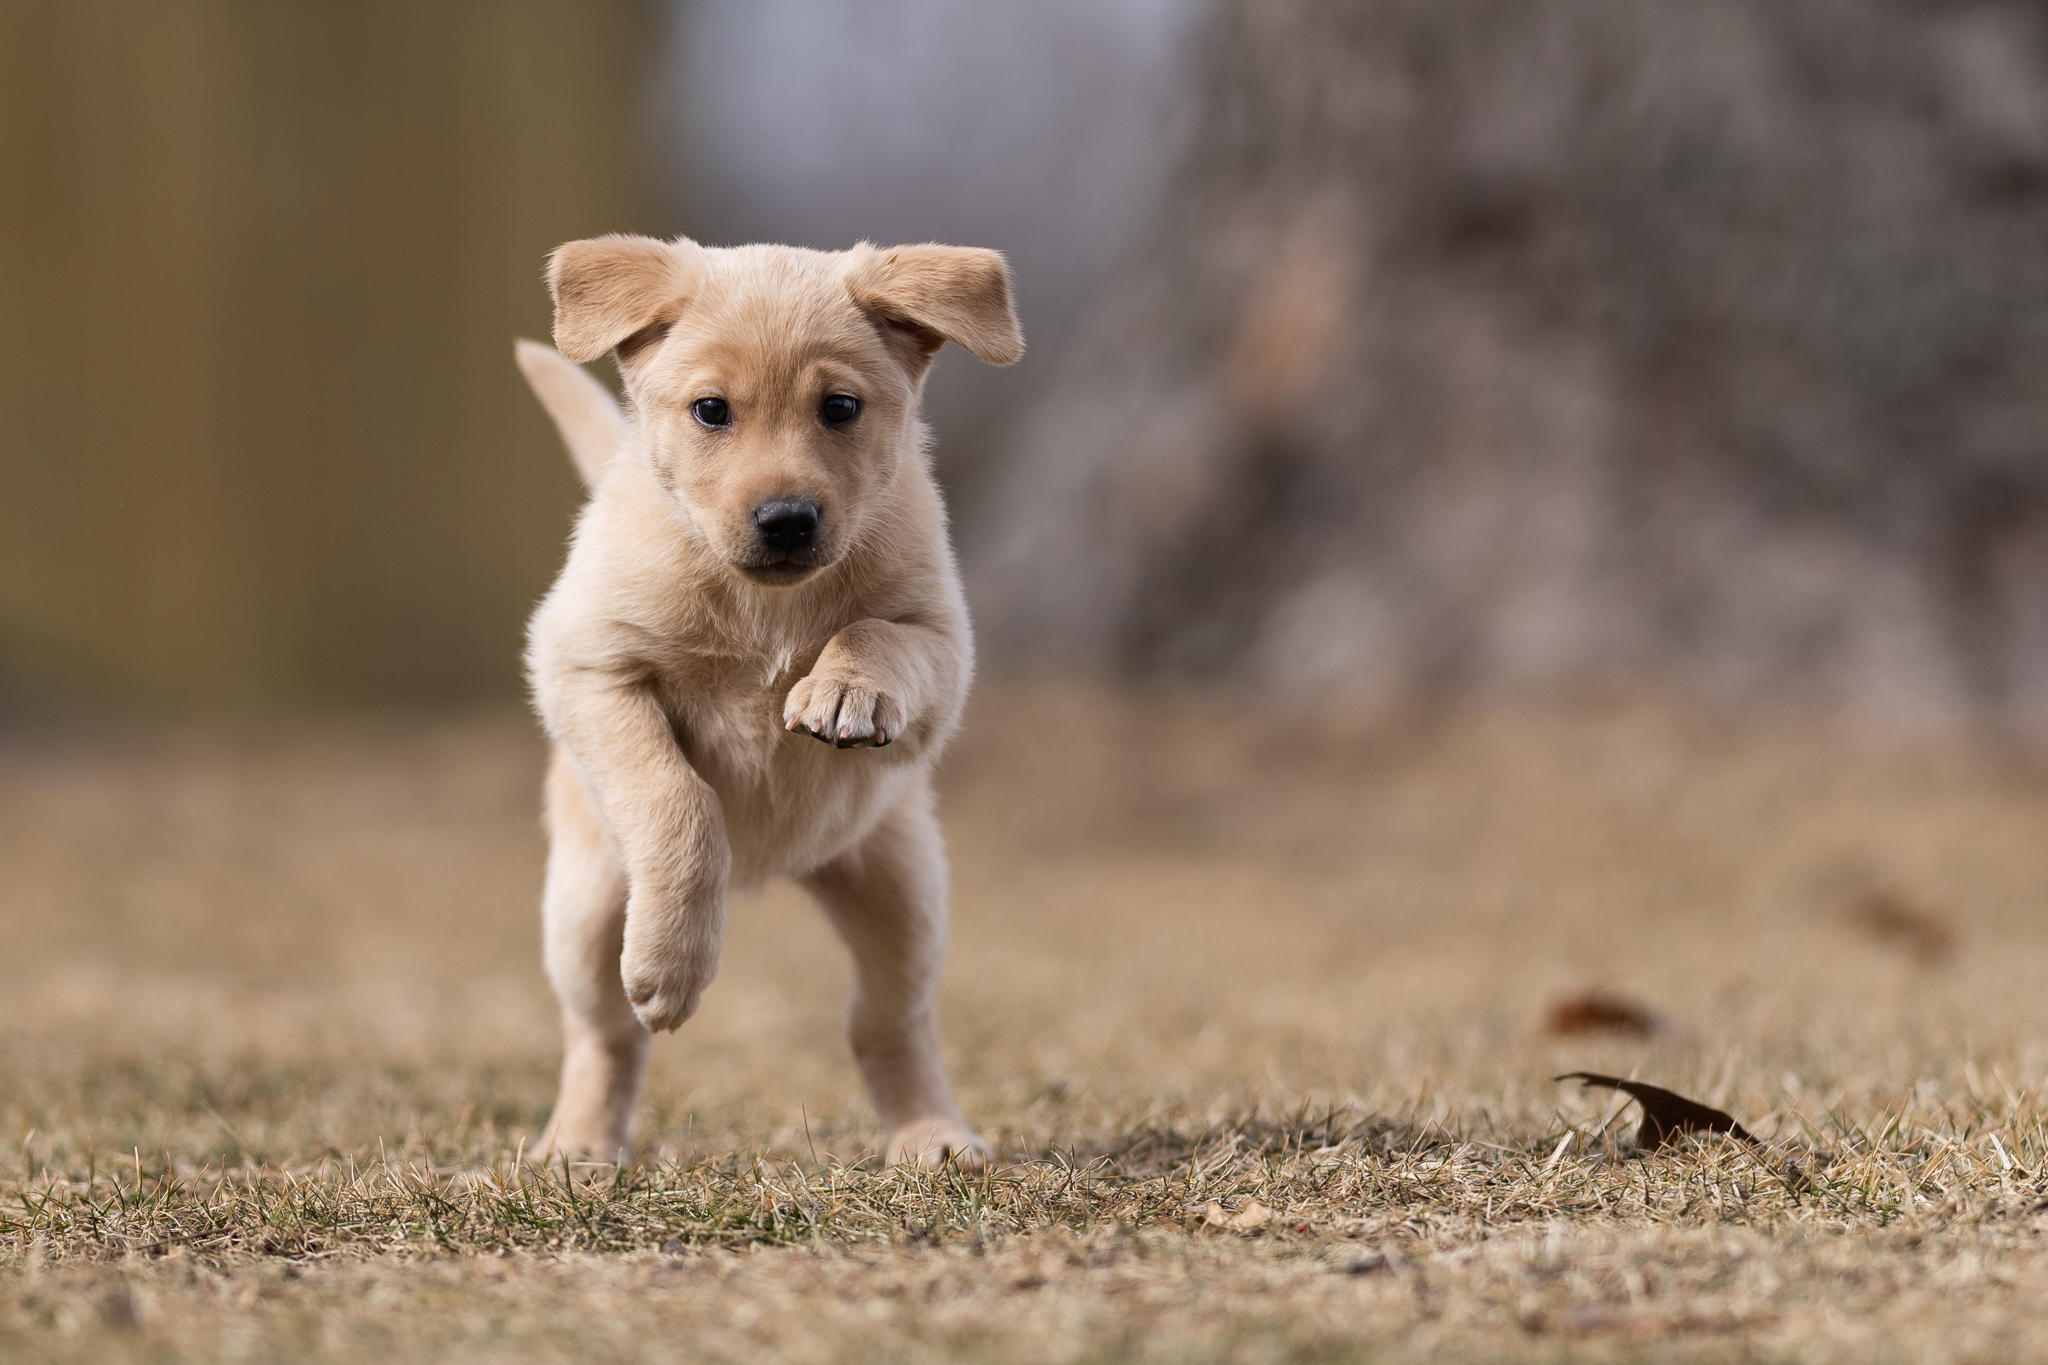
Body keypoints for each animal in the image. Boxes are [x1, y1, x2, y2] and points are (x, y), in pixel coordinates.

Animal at [516, 232, 1019, 1162]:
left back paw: (933, 1136)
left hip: (902, 888)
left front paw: (844, 687)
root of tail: (771, 871)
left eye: (841, 408)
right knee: (607, 1033)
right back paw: (577, 1146)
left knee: (885, 1022)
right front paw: (673, 965)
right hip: (584, 903)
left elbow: (876, 632)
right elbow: (677, 797)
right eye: (711, 410)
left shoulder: (944, 647)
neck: (765, 606)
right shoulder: (587, 666)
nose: (787, 519)